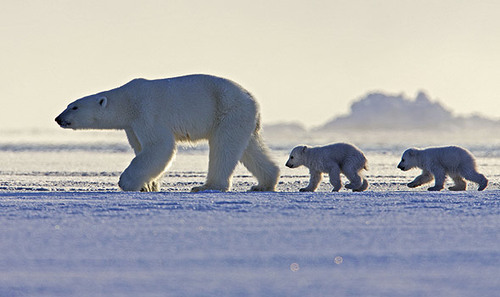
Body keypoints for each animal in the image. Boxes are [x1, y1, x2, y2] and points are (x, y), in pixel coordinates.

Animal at [57, 74, 282, 192]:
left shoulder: (147, 112)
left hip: (227, 111)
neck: (128, 101)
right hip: (241, 118)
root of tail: (253, 100)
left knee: (223, 148)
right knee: (249, 148)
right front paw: (148, 185)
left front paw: (126, 182)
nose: (58, 118)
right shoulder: (132, 126)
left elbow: (160, 146)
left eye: (74, 107)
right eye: (68, 105)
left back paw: (206, 186)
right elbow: (141, 149)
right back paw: (263, 184)